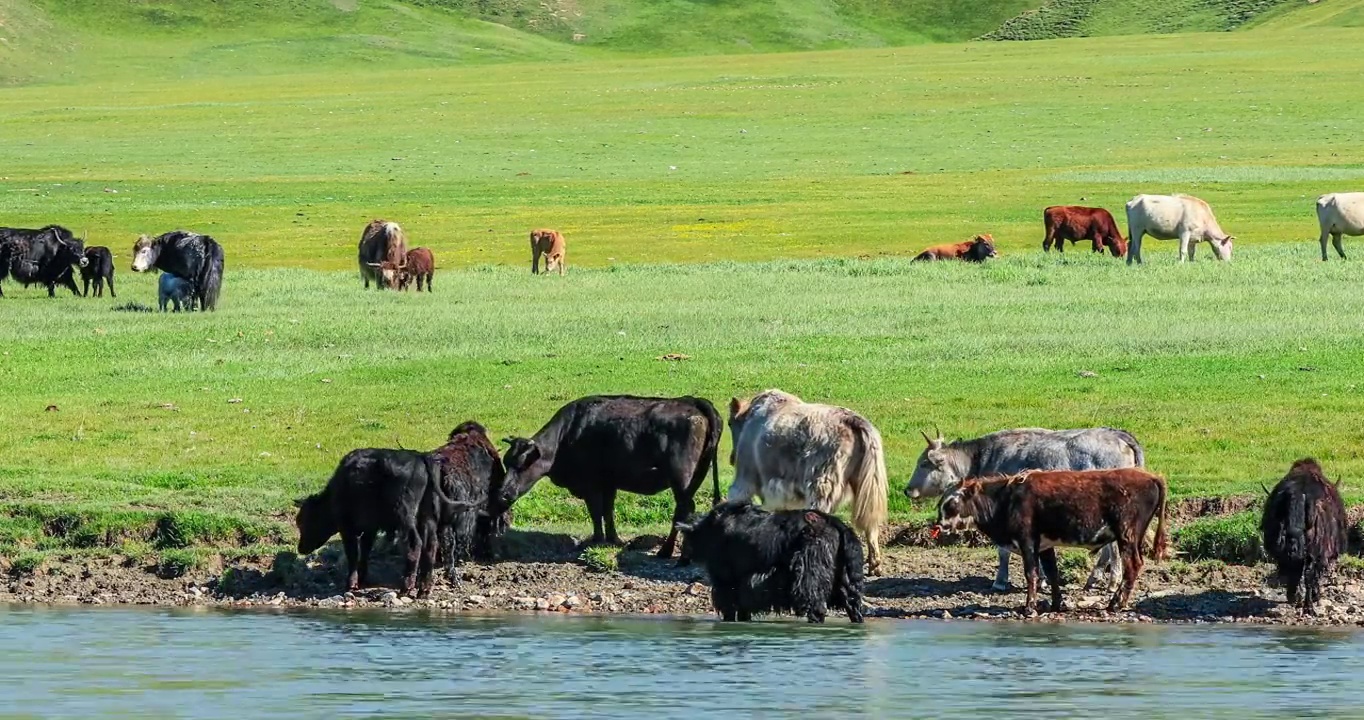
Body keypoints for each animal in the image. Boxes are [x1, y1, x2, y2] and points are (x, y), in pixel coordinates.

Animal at [294, 450, 474, 597]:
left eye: (304, 521)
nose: (300, 548)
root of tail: (420, 457)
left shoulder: (347, 528)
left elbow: (353, 554)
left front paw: (351, 583)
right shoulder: (370, 528)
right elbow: (365, 550)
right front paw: (362, 577)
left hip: (405, 515)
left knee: (415, 544)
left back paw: (406, 587)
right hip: (427, 515)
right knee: (430, 545)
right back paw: (423, 590)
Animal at [679, 501, 862, 624]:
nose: (684, 557)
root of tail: (834, 523)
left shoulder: (726, 582)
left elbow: (730, 607)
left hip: (810, 576)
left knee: (817, 607)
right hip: (845, 580)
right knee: (853, 605)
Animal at [731, 390, 889, 575]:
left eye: (730, 423)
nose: (732, 458)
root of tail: (853, 421)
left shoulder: (746, 478)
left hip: (822, 486)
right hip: (866, 487)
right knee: (870, 524)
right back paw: (874, 565)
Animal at [905, 428, 1151, 591]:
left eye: (924, 464)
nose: (908, 490)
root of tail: (1117, 434)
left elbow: (1003, 550)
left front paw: (1000, 581)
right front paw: (1041, 579)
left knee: (1114, 547)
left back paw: (1112, 582)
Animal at [932, 469, 1167, 616]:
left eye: (951, 503)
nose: (939, 525)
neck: (1007, 499)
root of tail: (1151, 476)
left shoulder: (1027, 540)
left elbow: (1032, 573)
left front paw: (1029, 607)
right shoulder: (1045, 545)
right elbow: (1053, 573)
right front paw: (1056, 604)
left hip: (1127, 533)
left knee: (1132, 565)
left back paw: (1116, 604)